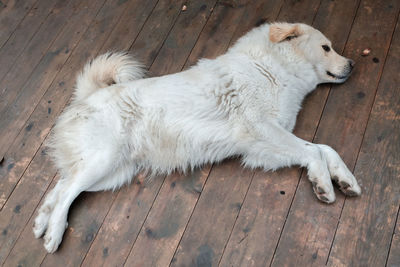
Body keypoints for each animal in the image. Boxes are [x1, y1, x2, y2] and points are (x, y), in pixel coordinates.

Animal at [33, 22, 360, 253]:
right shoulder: (262, 130)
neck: (270, 68)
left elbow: (324, 148)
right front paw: (323, 184)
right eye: (326, 47)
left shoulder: (265, 145)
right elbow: (315, 151)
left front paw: (345, 180)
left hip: (111, 173)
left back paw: (39, 222)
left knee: (62, 185)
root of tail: (87, 95)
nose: (353, 65)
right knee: (67, 191)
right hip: (103, 161)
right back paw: (52, 234)